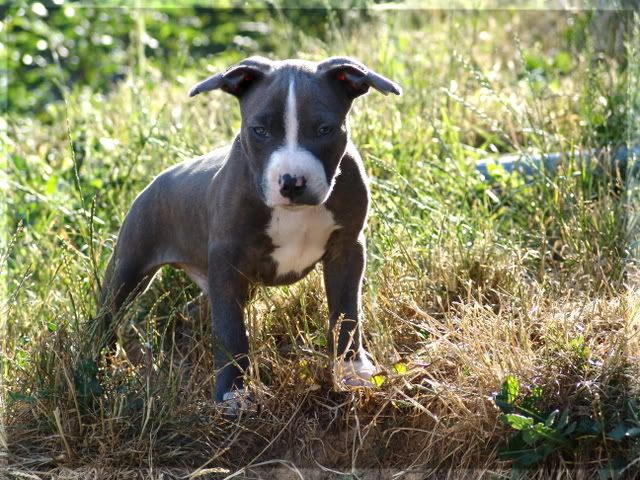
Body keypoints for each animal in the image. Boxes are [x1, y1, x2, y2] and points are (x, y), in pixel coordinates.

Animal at [99, 56, 400, 408]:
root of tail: (156, 181)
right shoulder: (227, 259)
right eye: (260, 130)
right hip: (129, 265)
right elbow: (230, 330)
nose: (292, 182)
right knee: (106, 316)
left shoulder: (347, 249)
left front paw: (353, 369)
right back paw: (94, 367)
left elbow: (347, 310)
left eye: (324, 129)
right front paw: (233, 393)